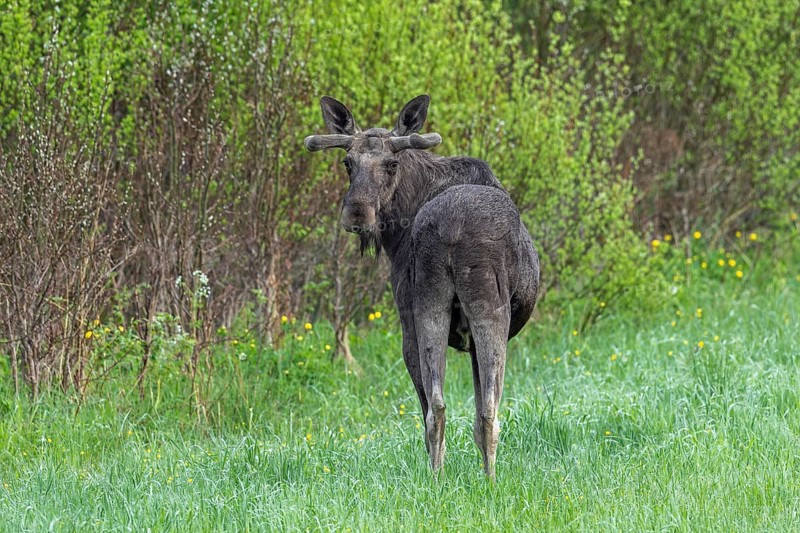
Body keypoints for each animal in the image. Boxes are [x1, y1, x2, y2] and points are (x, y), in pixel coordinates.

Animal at [305, 95, 540, 479]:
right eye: (347, 162)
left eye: (391, 163)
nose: (357, 214)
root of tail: (452, 227)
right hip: (482, 308)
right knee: (486, 409)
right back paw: (487, 481)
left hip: (431, 305)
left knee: (439, 406)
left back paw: (438, 477)